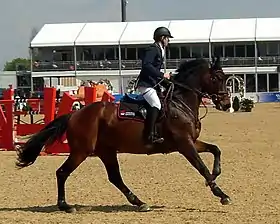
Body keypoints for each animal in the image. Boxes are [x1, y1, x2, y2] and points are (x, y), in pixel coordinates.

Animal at [14, 57, 232, 213]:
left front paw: (214, 177)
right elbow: (201, 167)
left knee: (114, 177)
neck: (180, 103)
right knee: (62, 172)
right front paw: (221, 194)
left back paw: (139, 202)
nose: (226, 104)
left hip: (106, 151)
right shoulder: (184, 144)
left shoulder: (190, 142)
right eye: (216, 78)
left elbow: (216, 150)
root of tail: (75, 114)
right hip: (82, 151)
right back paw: (65, 205)